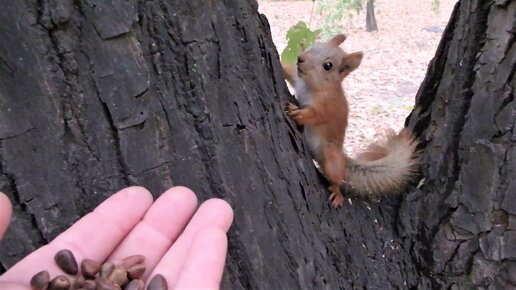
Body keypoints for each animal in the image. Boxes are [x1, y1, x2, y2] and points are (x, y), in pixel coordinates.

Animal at [282, 33, 420, 208]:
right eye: (314, 45)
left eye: (328, 65)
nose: (300, 59)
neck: (311, 87)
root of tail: (342, 157)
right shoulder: (298, 80)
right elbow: (290, 73)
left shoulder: (328, 107)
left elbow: (316, 115)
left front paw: (299, 113)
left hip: (331, 155)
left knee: (336, 177)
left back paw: (337, 192)